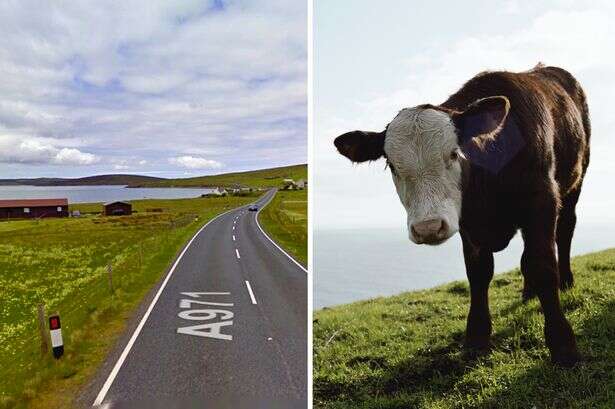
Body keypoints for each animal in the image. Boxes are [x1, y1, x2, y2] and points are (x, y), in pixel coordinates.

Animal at [336, 64, 592, 366]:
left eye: (454, 153)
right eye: (392, 165)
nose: (428, 227)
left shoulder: (541, 199)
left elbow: (542, 266)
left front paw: (563, 345)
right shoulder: (468, 223)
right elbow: (479, 273)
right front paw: (477, 338)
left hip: (575, 181)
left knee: (565, 231)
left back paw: (566, 281)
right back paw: (528, 291)